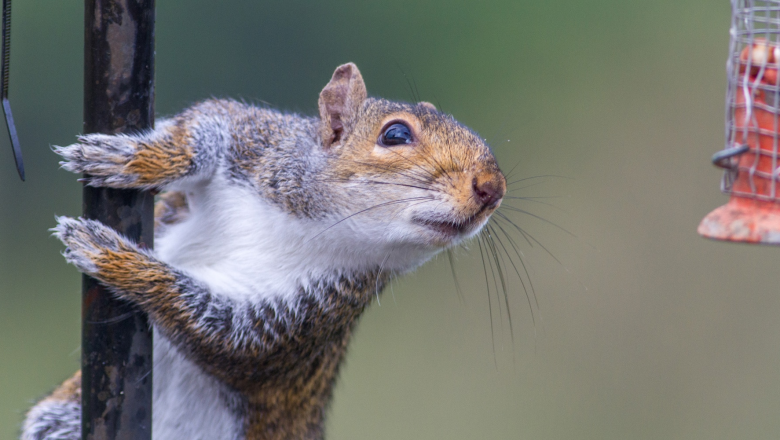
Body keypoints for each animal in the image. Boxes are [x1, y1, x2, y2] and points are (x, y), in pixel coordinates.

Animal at [21, 62, 508, 440]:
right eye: (395, 134)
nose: (492, 189)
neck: (315, 226)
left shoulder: (303, 315)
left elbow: (223, 337)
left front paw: (112, 257)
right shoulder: (256, 141)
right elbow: (203, 130)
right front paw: (137, 160)